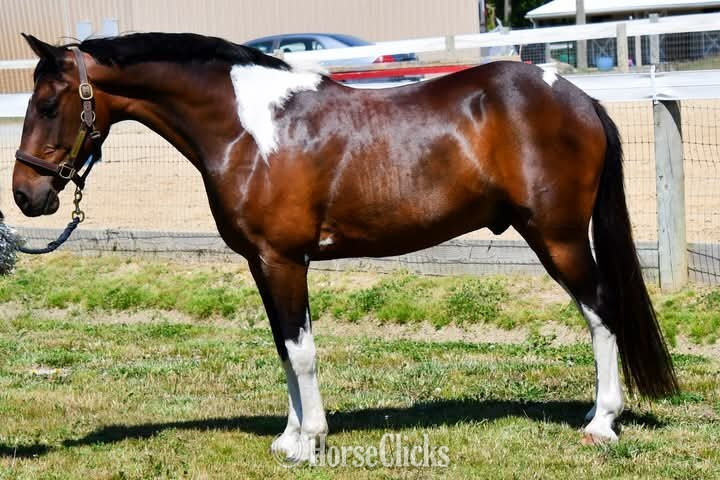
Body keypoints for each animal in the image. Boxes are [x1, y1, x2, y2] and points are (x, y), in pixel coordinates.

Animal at [12, 32, 678, 458]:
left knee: (601, 312)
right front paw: (291, 436)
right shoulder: (263, 264)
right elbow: (285, 348)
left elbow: (301, 351)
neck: (248, 129)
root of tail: (578, 97)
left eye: (47, 104)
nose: (24, 194)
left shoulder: (284, 260)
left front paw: (308, 442)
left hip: (558, 238)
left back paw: (603, 424)